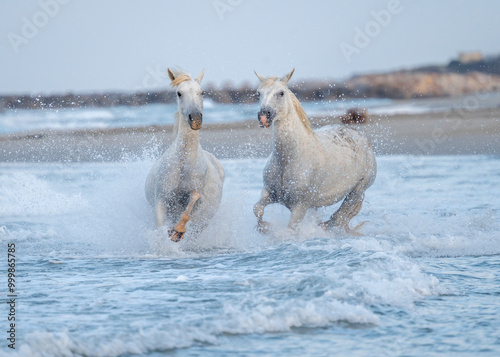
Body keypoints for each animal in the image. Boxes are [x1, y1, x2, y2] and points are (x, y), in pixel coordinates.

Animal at [144, 68, 224, 241]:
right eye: (179, 93)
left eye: (202, 92)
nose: (195, 119)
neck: (183, 163)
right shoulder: (161, 199)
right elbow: (160, 226)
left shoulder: (197, 197)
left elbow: (191, 205)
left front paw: (178, 231)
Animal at [252, 69, 376, 234]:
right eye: (258, 93)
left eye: (281, 93)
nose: (264, 117)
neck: (288, 159)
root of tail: (360, 135)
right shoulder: (270, 194)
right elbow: (257, 209)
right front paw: (264, 228)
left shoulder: (300, 206)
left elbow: (290, 230)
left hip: (357, 192)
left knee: (338, 216)